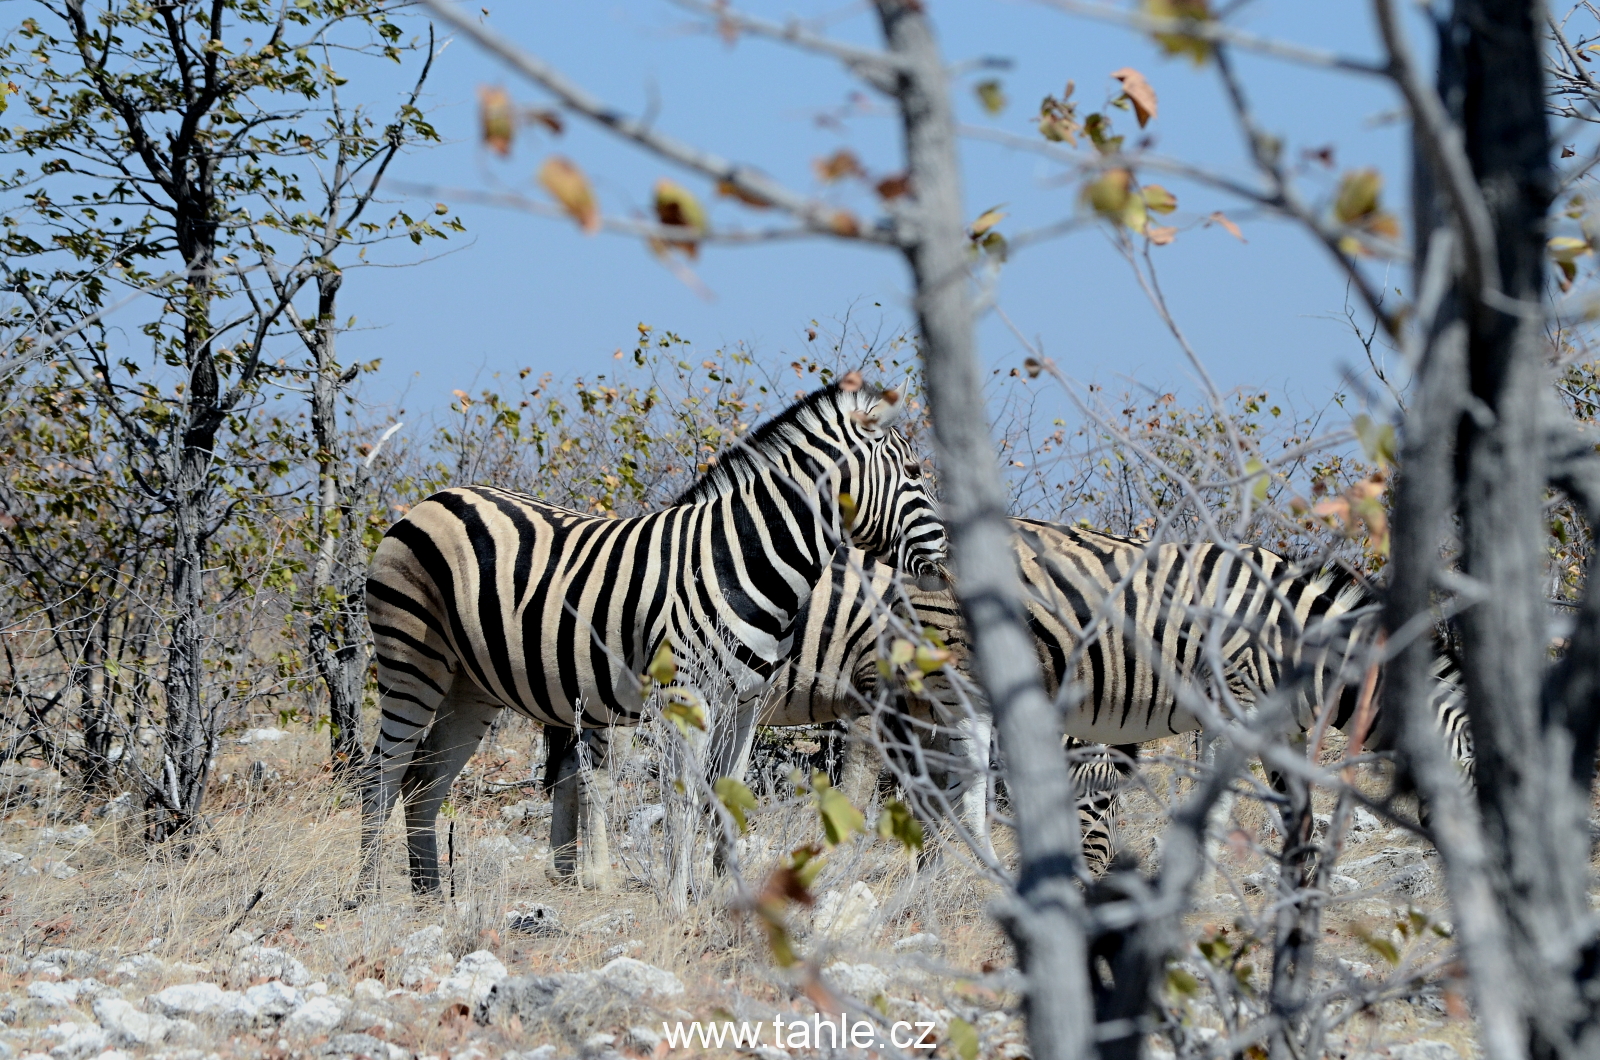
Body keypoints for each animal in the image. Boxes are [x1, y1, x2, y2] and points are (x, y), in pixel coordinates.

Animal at [355, 379, 940, 896]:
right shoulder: (684, 696)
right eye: (914, 472)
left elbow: (728, 799)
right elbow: (681, 802)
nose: (947, 557)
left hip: (470, 685)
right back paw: (369, 897)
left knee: (423, 784)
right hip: (411, 656)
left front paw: (728, 898)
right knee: (381, 773)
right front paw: (677, 902)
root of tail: (432, 498)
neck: (737, 561)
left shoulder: (744, 705)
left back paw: (431, 898)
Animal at [755, 518, 1465, 877]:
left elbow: (1299, 810)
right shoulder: (1227, 703)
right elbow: (1211, 801)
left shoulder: (1281, 729)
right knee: (930, 767)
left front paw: (1300, 885)